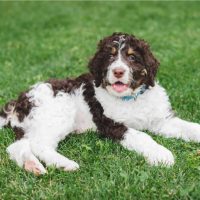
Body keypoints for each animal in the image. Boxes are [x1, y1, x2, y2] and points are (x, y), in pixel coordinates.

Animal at [0, 32, 200, 175]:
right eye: (110, 57)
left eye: (132, 57)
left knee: (18, 146)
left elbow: (189, 127)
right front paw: (162, 155)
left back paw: (32, 166)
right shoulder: (111, 123)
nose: (118, 71)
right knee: (39, 144)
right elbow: (141, 136)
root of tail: (19, 100)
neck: (131, 98)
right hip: (58, 112)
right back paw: (64, 164)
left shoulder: (162, 120)